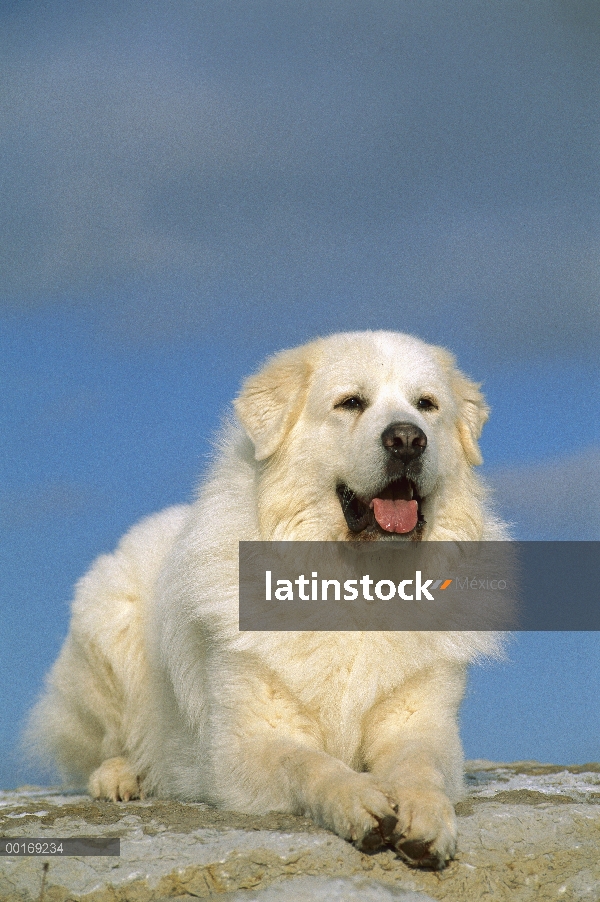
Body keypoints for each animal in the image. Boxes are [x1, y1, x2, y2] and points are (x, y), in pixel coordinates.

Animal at [25, 332, 508, 868]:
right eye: (350, 403)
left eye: (427, 405)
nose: (407, 439)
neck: (356, 584)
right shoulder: (245, 748)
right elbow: (306, 763)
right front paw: (357, 800)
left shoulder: (421, 726)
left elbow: (421, 768)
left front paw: (425, 817)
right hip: (107, 622)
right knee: (102, 745)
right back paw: (122, 776)